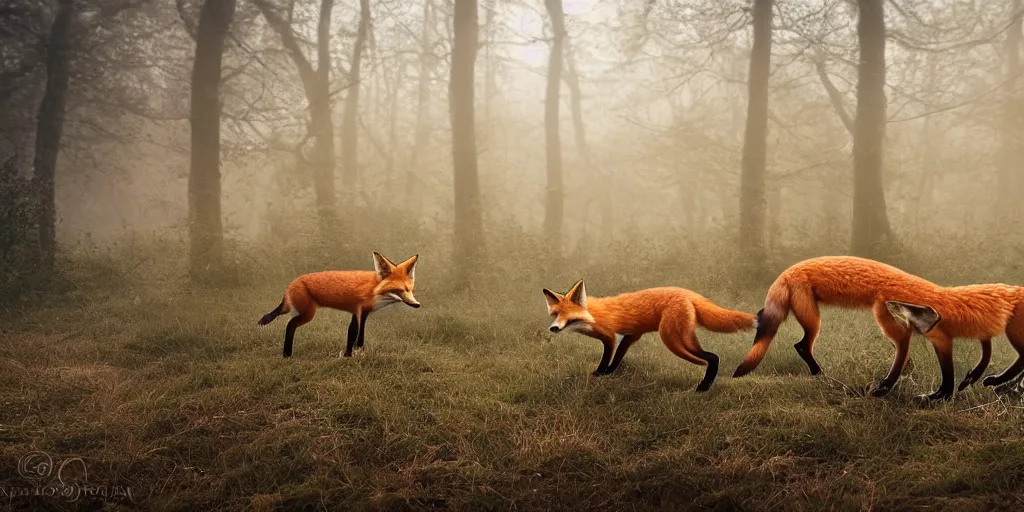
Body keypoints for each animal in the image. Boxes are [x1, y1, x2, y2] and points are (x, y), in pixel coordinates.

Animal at [260, 250, 419, 356]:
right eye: (400, 290)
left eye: (410, 290)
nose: (417, 305)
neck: (373, 288)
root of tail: (292, 283)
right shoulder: (357, 310)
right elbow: (352, 332)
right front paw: (348, 356)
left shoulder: (364, 313)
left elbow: (360, 334)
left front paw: (359, 350)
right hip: (307, 314)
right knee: (290, 325)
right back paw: (287, 354)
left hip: (296, 309)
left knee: (280, 316)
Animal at [544, 280, 761, 391]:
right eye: (555, 314)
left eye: (568, 317)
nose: (553, 328)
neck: (592, 314)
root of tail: (687, 292)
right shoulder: (631, 335)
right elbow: (619, 355)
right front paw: (610, 372)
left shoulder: (609, 336)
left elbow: (607, 356)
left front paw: (600, 373)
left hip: (672, 339)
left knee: (712, 357)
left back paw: (704, 386)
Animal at [729, 256, 1024, 399]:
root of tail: (785, 273)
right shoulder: (937, 336)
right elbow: (948, 373)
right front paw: (942, 394)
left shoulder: (936, 336)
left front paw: (946, 392)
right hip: (818, 319)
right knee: (801, 345)